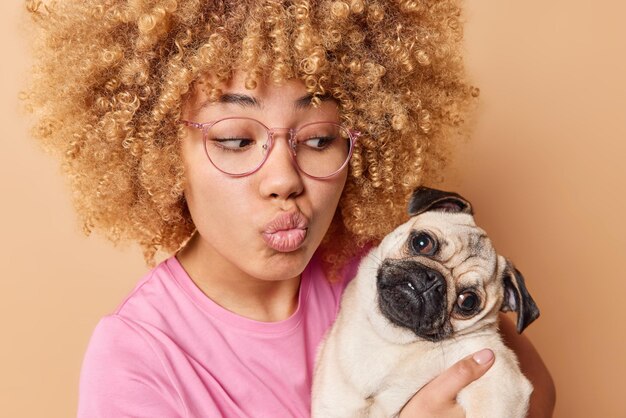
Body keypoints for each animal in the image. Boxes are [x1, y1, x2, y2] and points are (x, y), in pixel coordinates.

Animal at [310, 187, 540, 418]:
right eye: (422, 242)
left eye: (468, 302)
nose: (433, 281)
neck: (393, 339)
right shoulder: (337, 403)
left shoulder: (497, 378)